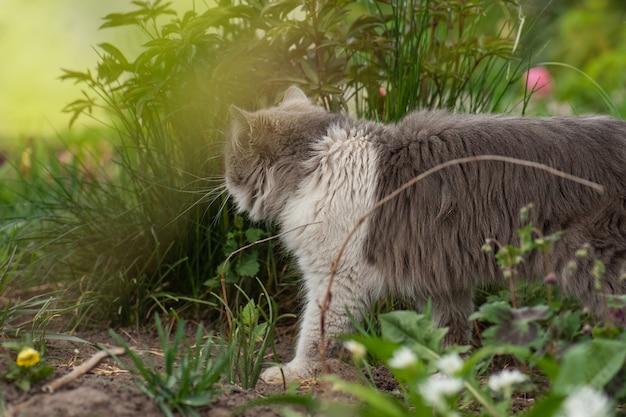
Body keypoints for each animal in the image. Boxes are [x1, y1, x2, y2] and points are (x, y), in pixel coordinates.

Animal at [223, 86, 624, 382]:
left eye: (231, 165)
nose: (224, 185)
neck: (318, 162)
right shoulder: (443, 275)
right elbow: (451, 333)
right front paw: (447, 377)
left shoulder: (335, 276)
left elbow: (314, 332)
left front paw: (291, 373)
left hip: (601, 266)